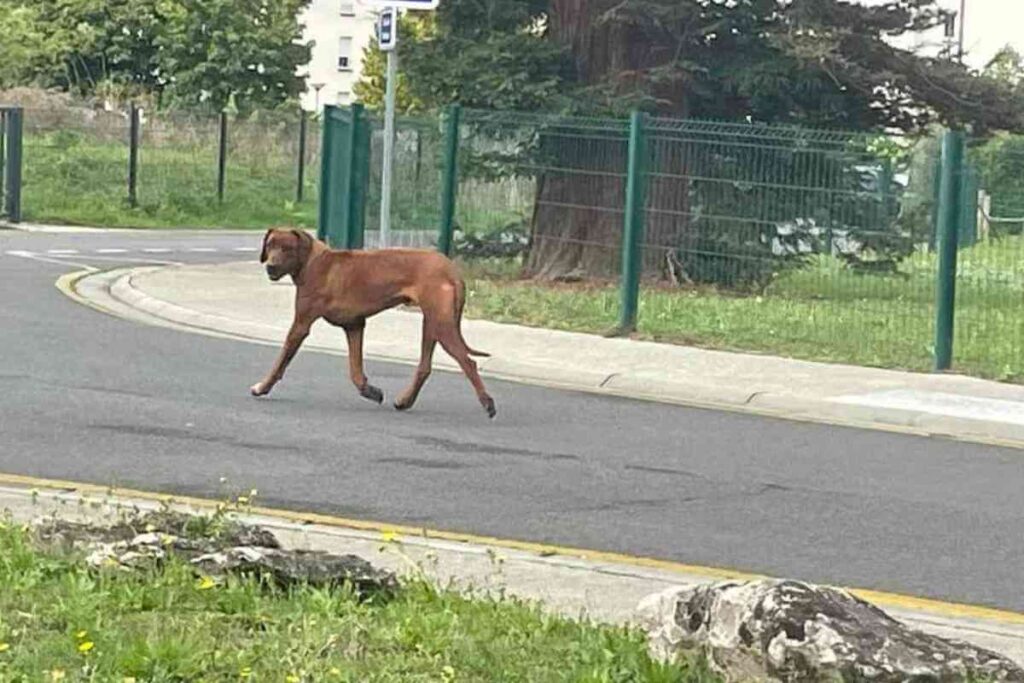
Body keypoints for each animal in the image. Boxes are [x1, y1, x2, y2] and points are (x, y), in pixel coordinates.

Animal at [253, 229, 497, 417]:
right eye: (270, 245)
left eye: (287, 248)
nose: (270, 266)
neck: (311, 261)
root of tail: (452, 269)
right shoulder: (354, 326)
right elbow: (355, 370)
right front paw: (370, 391)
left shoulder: (301, 324)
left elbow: (280, 362)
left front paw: (262, 387)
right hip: (432, 322)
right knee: (425, 366)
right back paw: (405, 400)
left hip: (442, 324)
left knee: (468, 362)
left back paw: (487, 402)